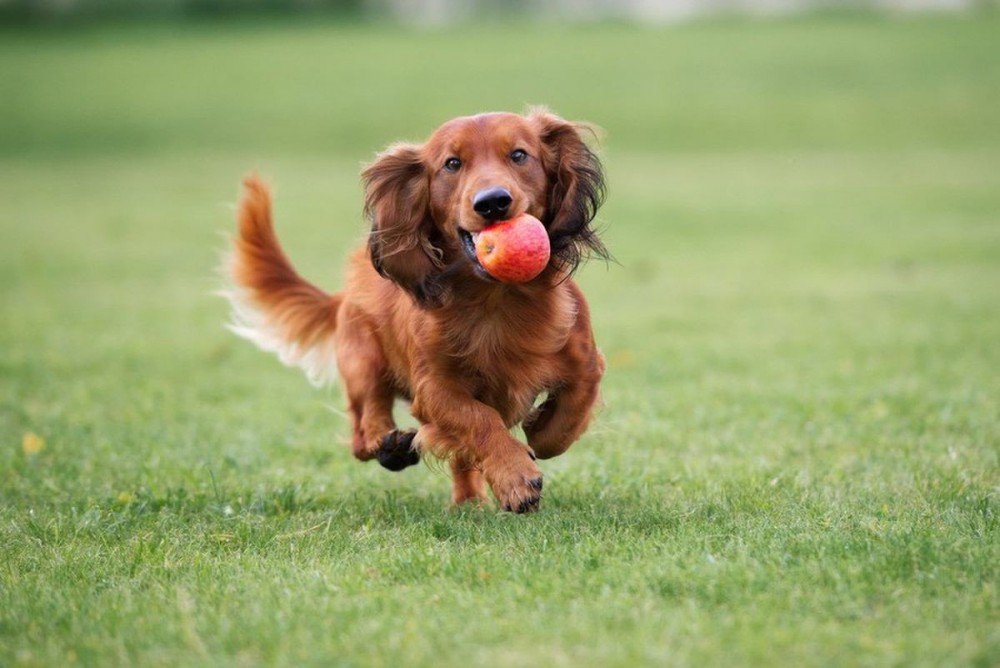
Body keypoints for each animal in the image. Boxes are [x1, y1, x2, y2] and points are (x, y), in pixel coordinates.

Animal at [223, 109, 604, 512]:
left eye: (519, 155)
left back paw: (468, 500)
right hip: (363, 359)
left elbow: (567, 418)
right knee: (364, 429)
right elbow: (479, 419)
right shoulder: (434, 388)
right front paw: (515, 475)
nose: (492, 202)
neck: (496, 300)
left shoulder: (587, 363)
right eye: (452, 164)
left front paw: (538, 431)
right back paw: (389, 446)